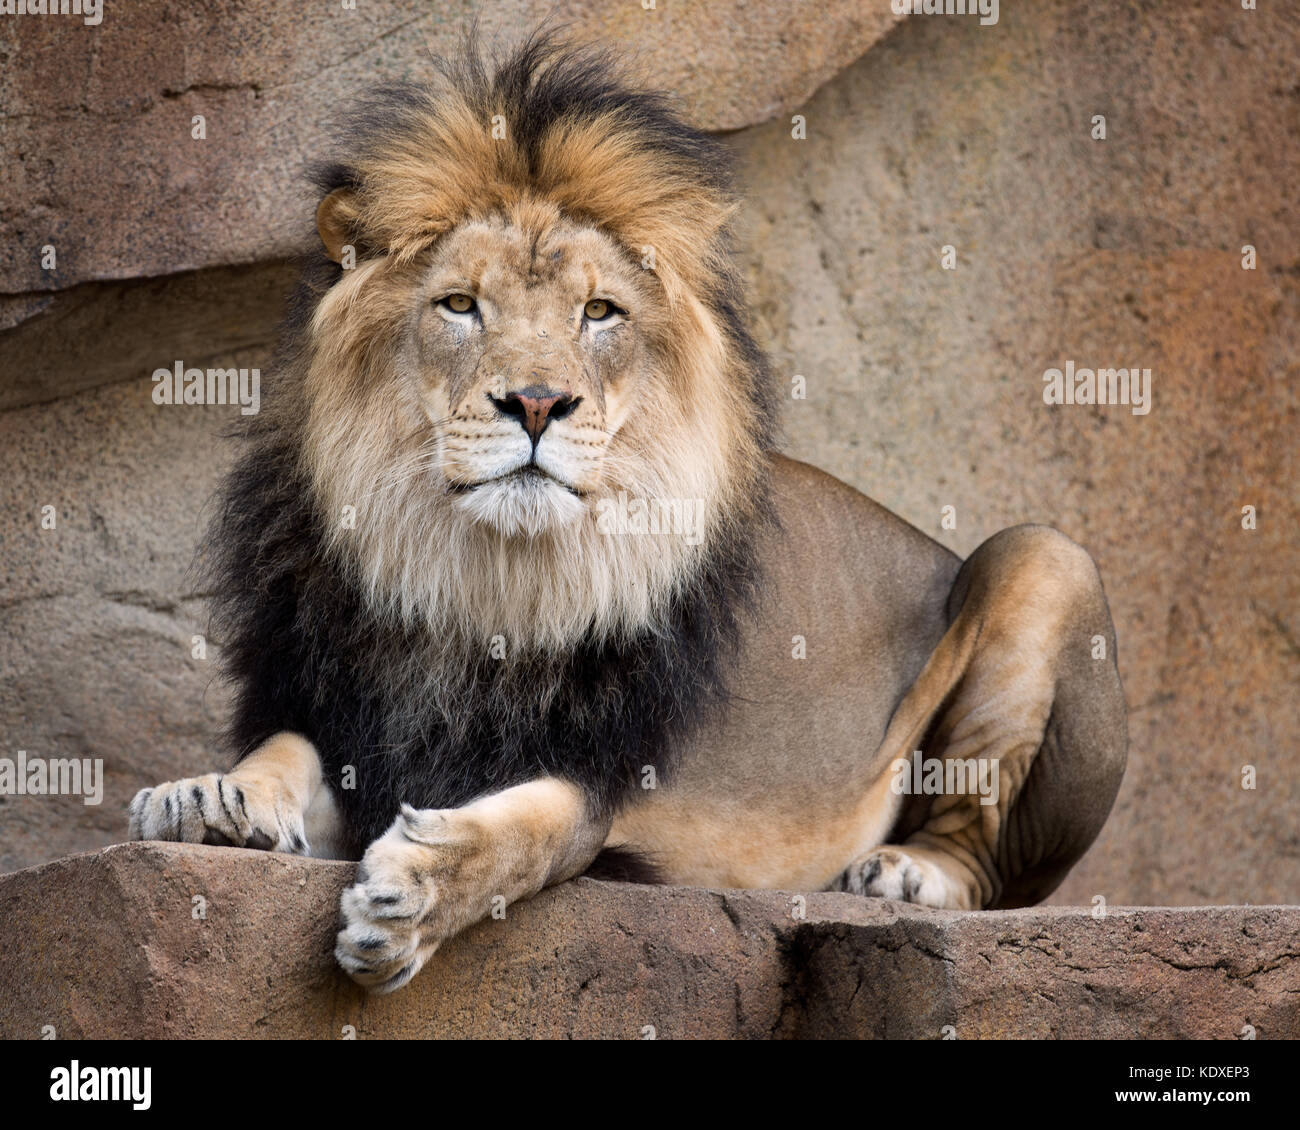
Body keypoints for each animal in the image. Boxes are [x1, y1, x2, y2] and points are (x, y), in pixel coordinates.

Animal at [129, 32, 1128, 988]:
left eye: (599, 313)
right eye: (459, 304)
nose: (537, 402)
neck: (475, 578)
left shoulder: (600, 774)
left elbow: (529, 834)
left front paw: (417, 894)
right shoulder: (343, 716)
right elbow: (285, 747)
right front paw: (212, 796)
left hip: (1045, 555)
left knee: (989, 869)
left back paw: (905, 874)